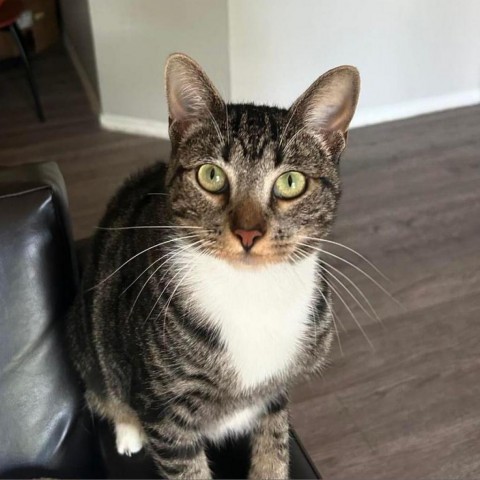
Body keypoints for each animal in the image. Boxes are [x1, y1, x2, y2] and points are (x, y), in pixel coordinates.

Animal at [67, 53, 360, 480]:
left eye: (290, 182)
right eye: (211, 175)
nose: (248, 233)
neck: (252, 293)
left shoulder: (276, 394)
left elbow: (274, 447)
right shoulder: (165, 412)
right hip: (87, 331)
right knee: (104, 385)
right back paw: (127, 430)